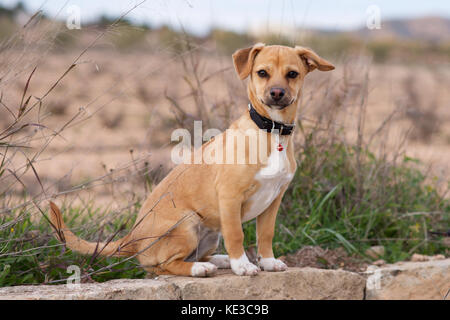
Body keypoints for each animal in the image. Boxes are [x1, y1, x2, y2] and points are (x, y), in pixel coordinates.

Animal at [49, 43, 334, 276]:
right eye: (262, 73)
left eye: (292, 74)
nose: (276, 93)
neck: (271, 131)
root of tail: (131, 238)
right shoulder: (230, 197)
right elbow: (237, 234)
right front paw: (242, 265)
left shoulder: (274, 199)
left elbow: (265, 234)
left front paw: (267, 262)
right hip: (186, 223)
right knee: (162, 265)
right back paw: (201, 268)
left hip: (209, 232)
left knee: (196, 254)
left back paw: (218, 260)